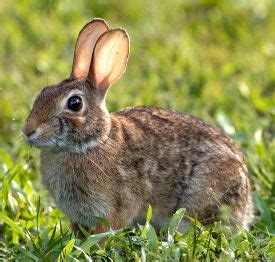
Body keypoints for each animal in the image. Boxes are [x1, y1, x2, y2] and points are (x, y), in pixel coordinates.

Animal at [23, 18, 254, 235]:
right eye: (44, 91)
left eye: (74, 103)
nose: (28, 131)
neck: (93, 142)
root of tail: (245, 208)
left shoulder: (114, 209)